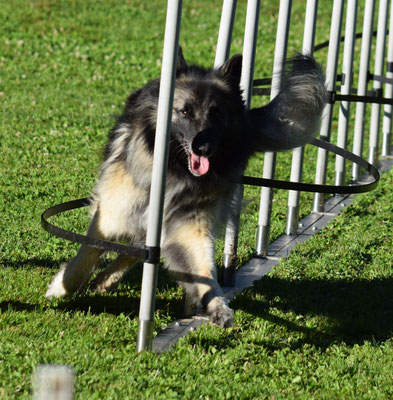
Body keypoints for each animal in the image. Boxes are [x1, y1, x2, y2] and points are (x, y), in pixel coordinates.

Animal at [46, 49, 326, 328]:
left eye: (216, 113)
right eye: (185, 112)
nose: (204, 148)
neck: (175, 170)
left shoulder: (189, 222)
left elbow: (201, 268)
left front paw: (217, 306)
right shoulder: (114, 210)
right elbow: (88, 251)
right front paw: (62, 286)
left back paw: (106, 280)